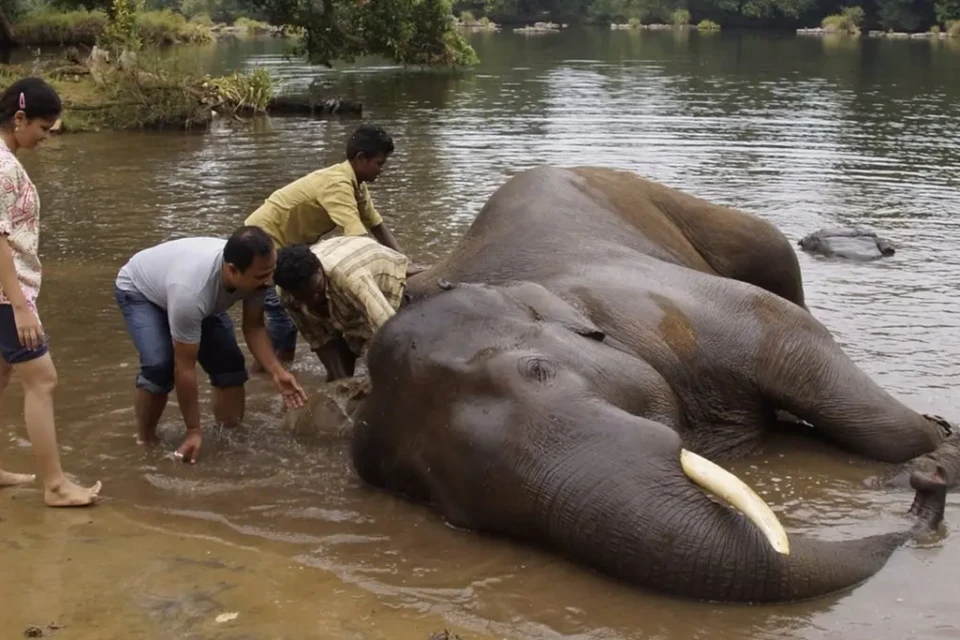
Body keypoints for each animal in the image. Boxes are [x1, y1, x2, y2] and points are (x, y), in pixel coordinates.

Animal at [348, 165, 956, 604]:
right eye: (437, 496)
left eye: (538, 370)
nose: (925, 494)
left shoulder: (683, 309)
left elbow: (802, 351)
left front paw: (936, 446)